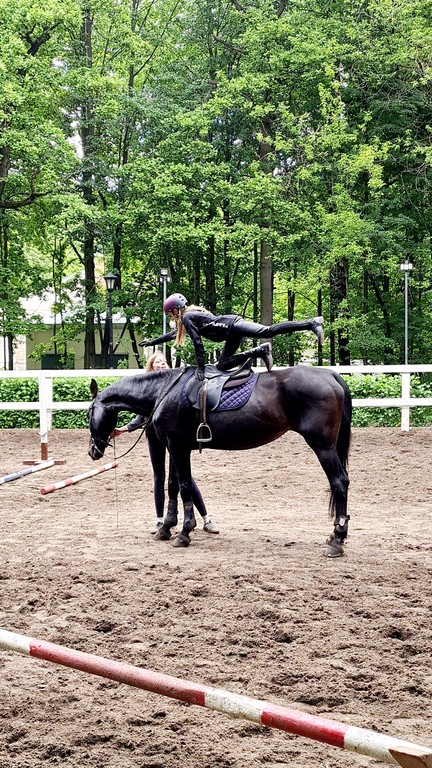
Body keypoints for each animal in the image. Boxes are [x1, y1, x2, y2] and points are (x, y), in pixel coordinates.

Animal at [88, 366, 352, 560]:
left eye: (89, 412)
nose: (93, 451)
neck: (164, 391)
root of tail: (331, 375)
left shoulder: (178, 447)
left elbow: (184, 486)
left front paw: (184, 532)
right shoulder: (175, 447)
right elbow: (173, 485)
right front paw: (166, 528)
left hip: (323, 446)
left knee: (339, 483)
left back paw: (338, 540)